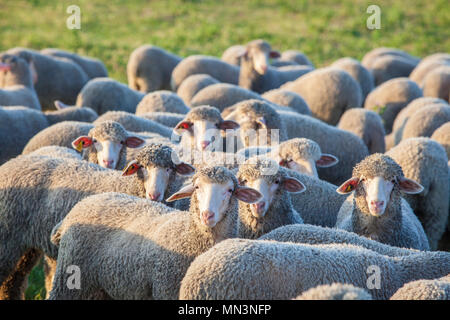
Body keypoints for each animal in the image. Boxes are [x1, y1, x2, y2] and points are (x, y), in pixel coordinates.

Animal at [48, 165, 264, 300]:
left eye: (230, 190)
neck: (188, 236)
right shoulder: (165, 288)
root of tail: (77, 208)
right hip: (70, 279)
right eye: (196, 187)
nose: (207, 215)